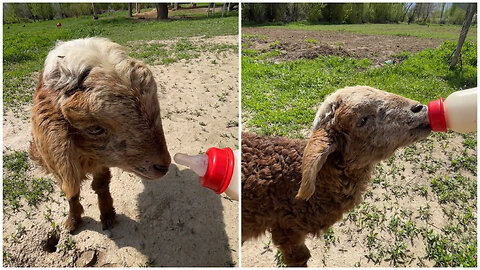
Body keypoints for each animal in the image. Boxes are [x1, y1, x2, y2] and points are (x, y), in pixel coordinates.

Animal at [28, 37, 171, 232]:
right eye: (95, 129)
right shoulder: (59, 161)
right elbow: (71, 192)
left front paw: (108, 215)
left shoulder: (99, 158)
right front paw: (72, 220)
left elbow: (101, 184)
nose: (164, 166)